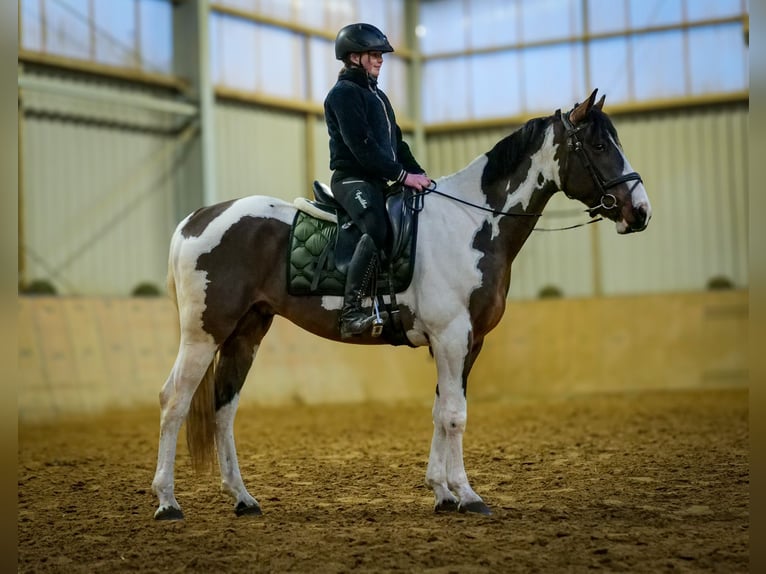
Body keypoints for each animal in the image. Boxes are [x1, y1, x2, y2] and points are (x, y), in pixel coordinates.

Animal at [152, 90, 656, 520]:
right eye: (598, 144)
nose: (641, 212)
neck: (471, 222)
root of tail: (198, 219)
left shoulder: (466, 342)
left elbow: (442, 410)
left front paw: (442, 493)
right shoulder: (451, 336)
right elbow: (455, 416)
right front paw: (467, 495)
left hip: (246, 333)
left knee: (224, 408)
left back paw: (242, 499)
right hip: (204, 334)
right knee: (174, 400)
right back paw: (167, 502)